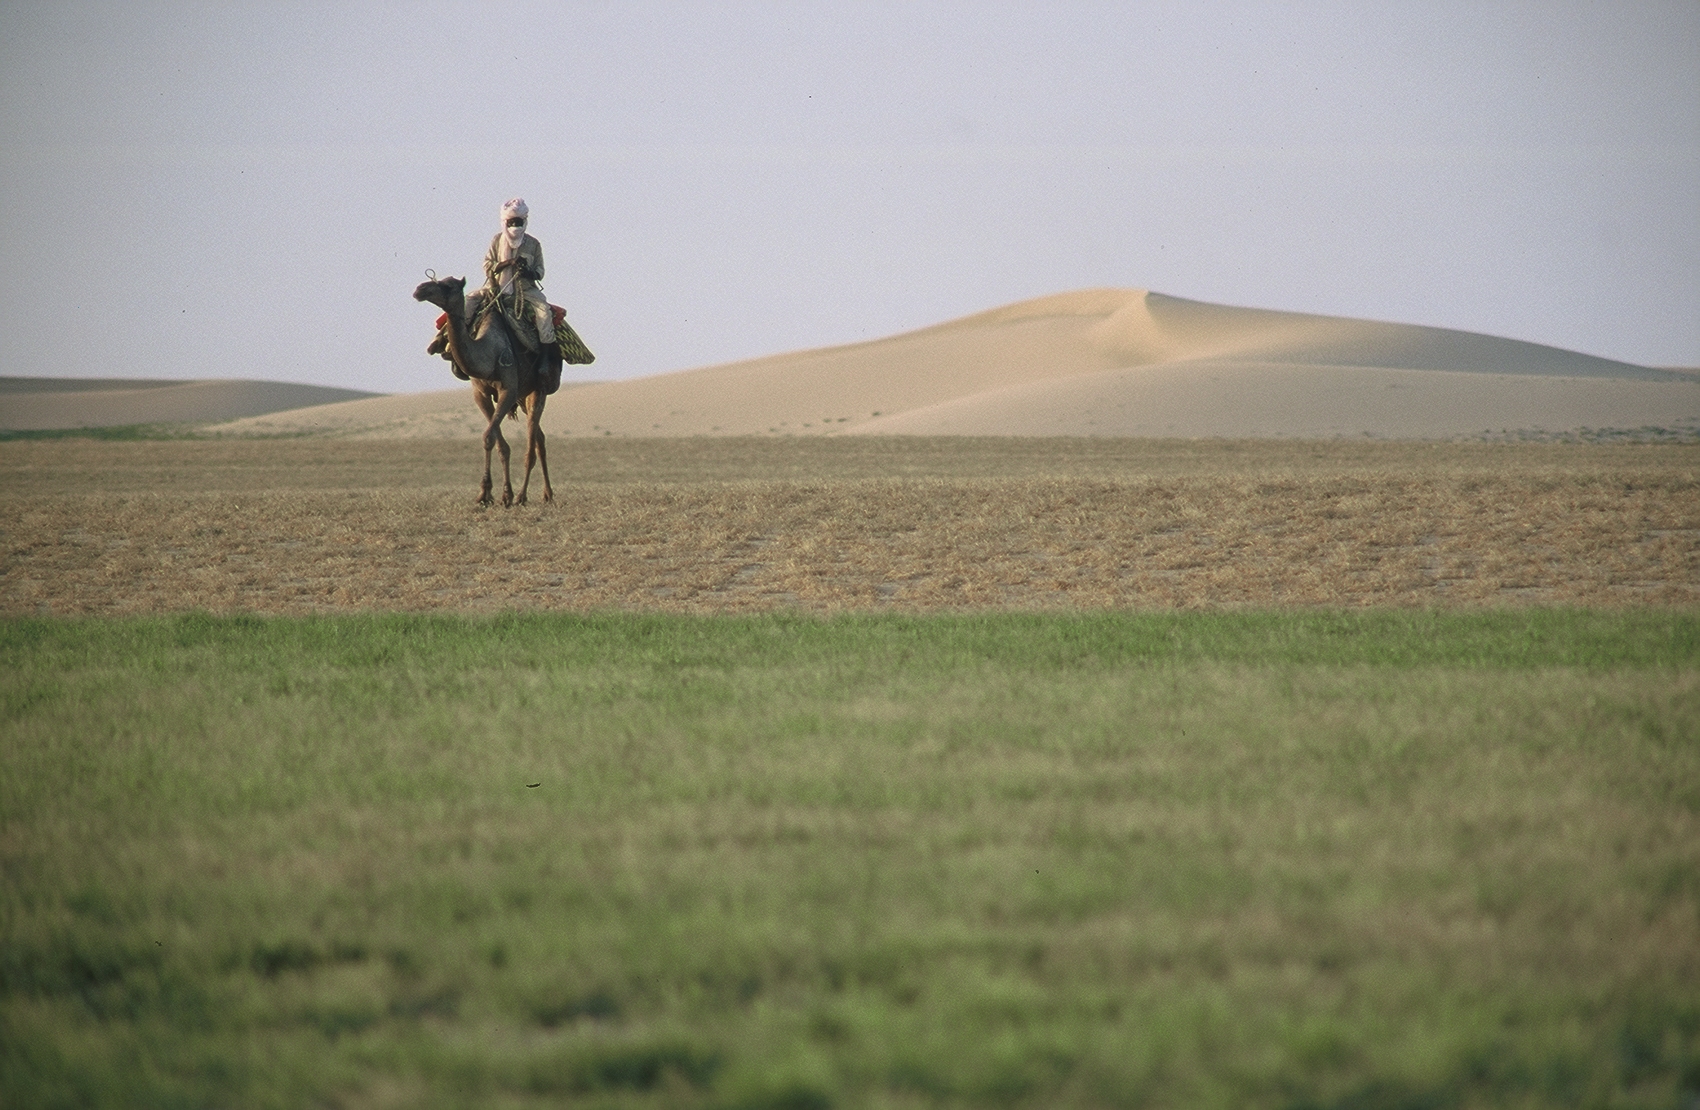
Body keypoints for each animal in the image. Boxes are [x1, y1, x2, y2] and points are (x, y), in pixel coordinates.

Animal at [411, 275, 550, 503]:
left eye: (448, 285)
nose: (420, 289)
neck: (488, 352)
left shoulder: (508, 390)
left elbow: (488, 437)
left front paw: (492, 494)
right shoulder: (481, 394)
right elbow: (499, 444)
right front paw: (497, 494)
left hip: (538, 390)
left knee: (532, 443)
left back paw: (524, 496)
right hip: (522, 397)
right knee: (540, 439)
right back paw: (547, 494)